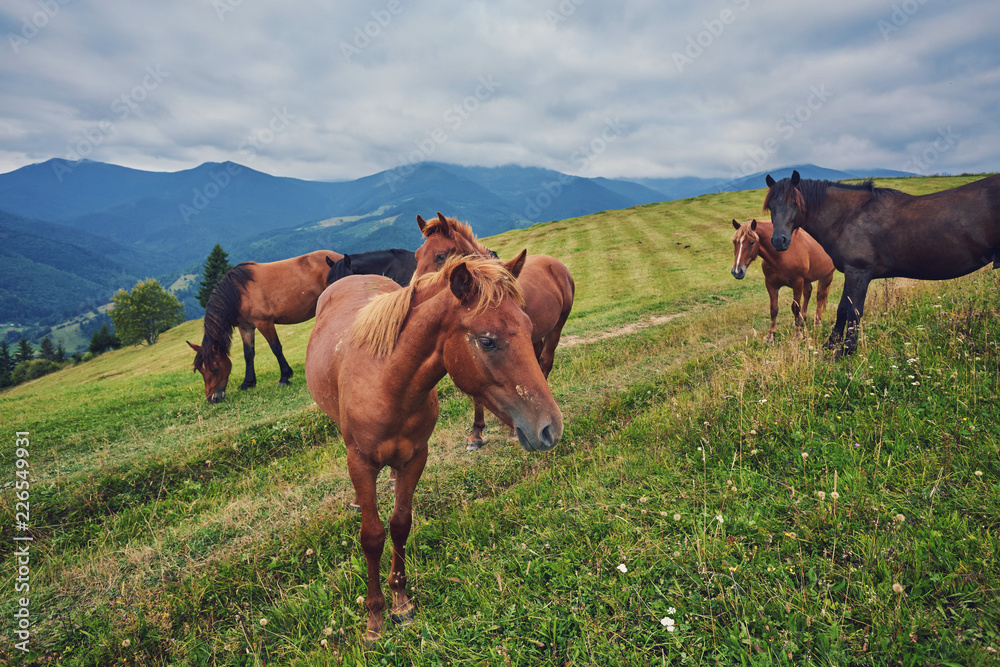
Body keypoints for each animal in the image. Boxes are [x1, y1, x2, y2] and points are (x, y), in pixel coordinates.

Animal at [187, 250, 342, 402]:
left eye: (215, 368)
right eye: (201, 370)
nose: (212, 398)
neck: (238, 293)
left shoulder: (264, 323)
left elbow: (276, 348)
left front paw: (284, 377)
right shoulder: (246, 328)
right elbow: (248, 354)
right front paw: (248, 382)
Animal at [305, 253, 562, 641]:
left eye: (528, 324)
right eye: (487, 341)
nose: (550, 427)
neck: (387, 382)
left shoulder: (415, 457)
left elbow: (400, 524)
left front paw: (400, 602)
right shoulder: (361, 463)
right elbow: (372, 536)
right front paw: (375, 619)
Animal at [414, 212, 575, 449]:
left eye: (440, 256)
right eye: (416, 255)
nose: (416, 290)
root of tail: (555, 263)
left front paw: (513, 428)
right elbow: (480, 392)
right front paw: (476, 433)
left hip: (557, 327)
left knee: (545, 362)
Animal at [763, 170, 1000, 355]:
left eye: (795, 203)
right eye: (771, 206)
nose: (779, 241)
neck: (849, 216)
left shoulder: (858, 272)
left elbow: (854, 311)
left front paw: (846, 351)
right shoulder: (851, 272)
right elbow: (842, 309)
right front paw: (830, 346)